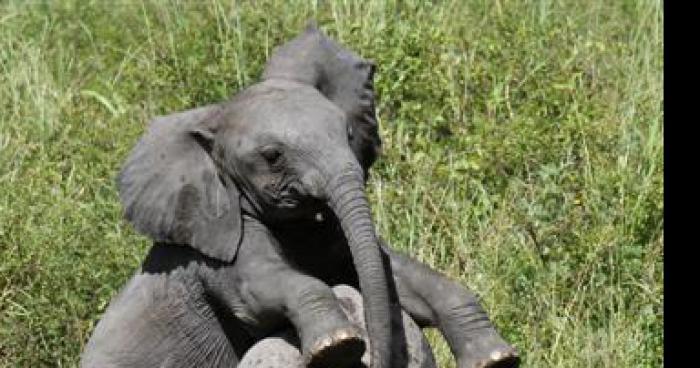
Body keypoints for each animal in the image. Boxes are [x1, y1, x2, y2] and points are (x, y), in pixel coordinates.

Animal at [80, 25, 520, 368]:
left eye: (347, 133)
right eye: (272, 157)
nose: (378, 353)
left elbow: (388, 270)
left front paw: (496, 357)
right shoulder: (215, 251)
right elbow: (259, 294)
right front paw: (338, 349)